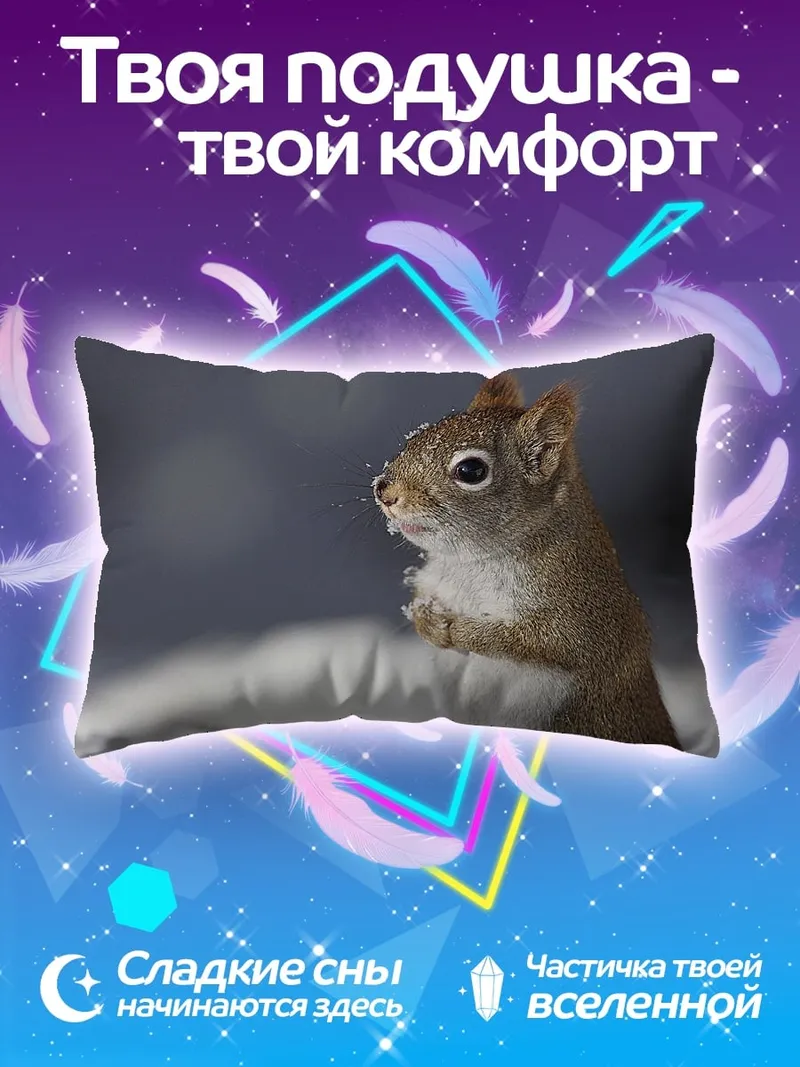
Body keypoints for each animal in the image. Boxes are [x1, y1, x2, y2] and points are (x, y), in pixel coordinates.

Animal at [372, 371, 682, 750]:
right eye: (417, 437)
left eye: (471, 470)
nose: (384, 490)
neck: (470, 562)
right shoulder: (434, 581)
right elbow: (419, 602)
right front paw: (429, 623)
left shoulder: (577, 618)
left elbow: (531, 642)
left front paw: (461, 631)